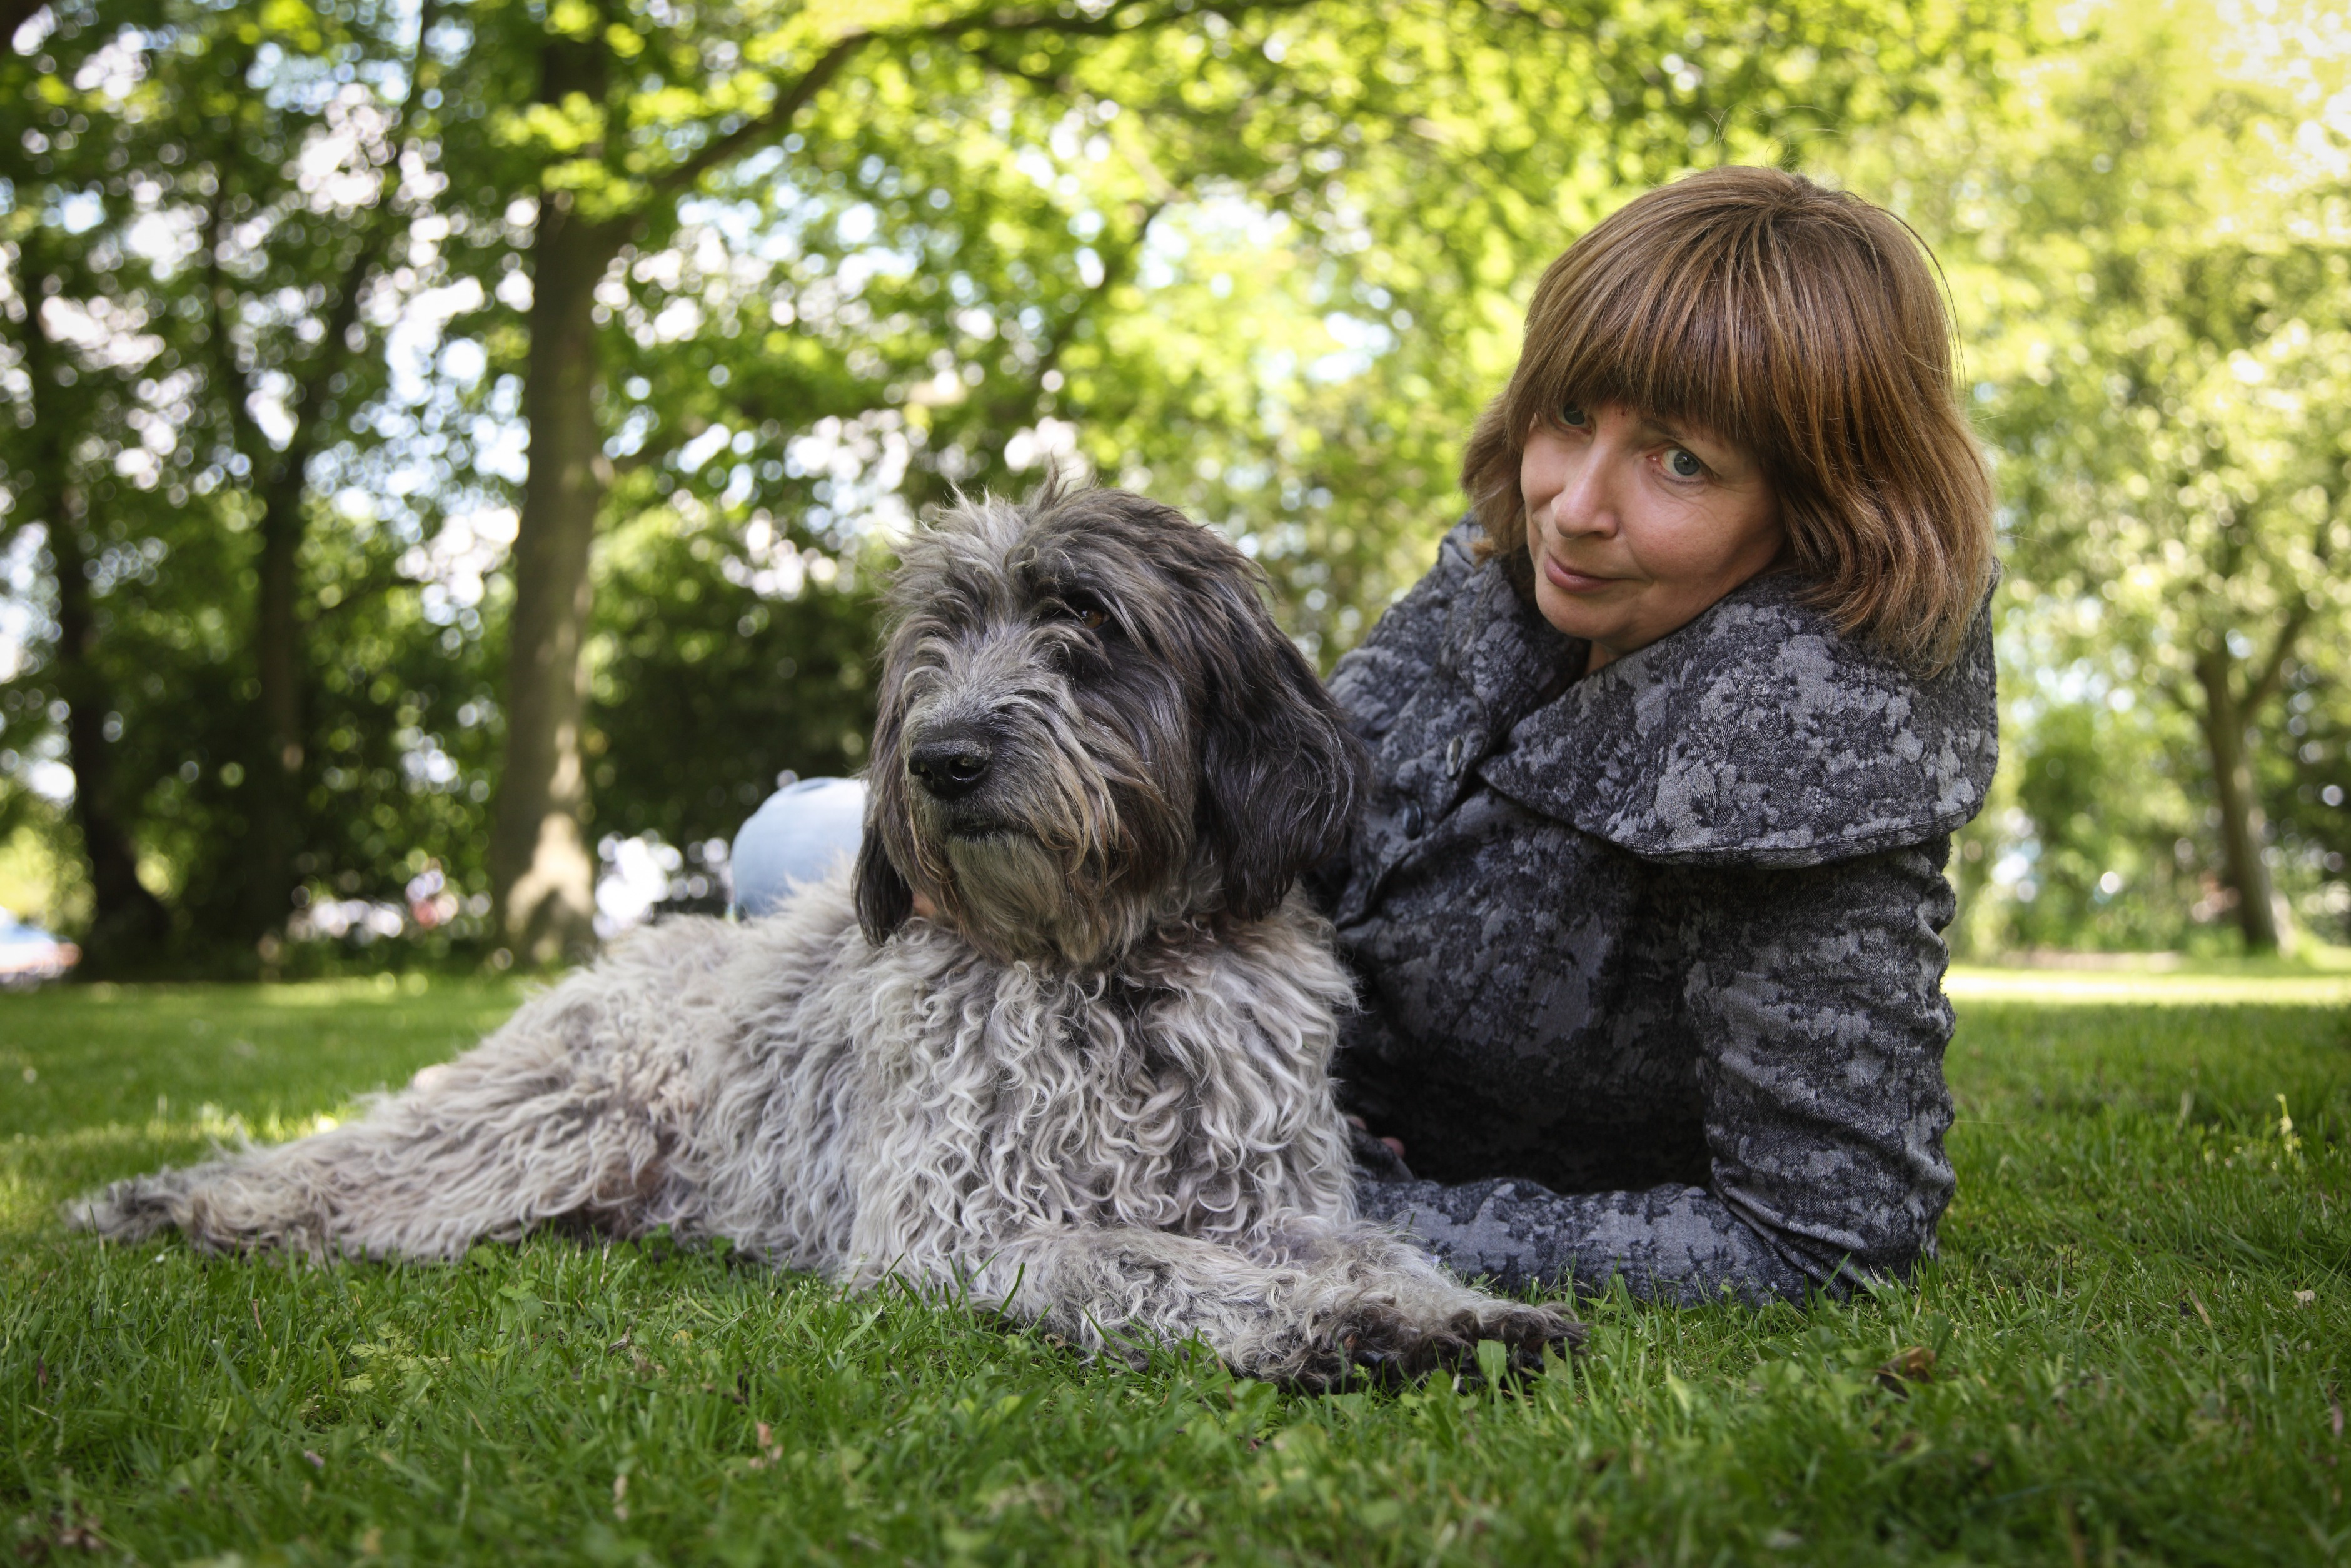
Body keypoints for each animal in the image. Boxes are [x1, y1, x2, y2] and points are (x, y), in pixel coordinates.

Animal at [71, 484, 1580, 1387]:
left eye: (1085, 624)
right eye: (940, 638)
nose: (943, 759)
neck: (1110, 970)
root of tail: (631, 954)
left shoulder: (1276, 1201)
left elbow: (1364, 1251)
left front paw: (1448, 1313)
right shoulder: (961, 1226)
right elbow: (1154, 1263)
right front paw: (1339, 1333)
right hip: (546, 1122)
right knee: (341, 1171)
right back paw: (173, 1202)